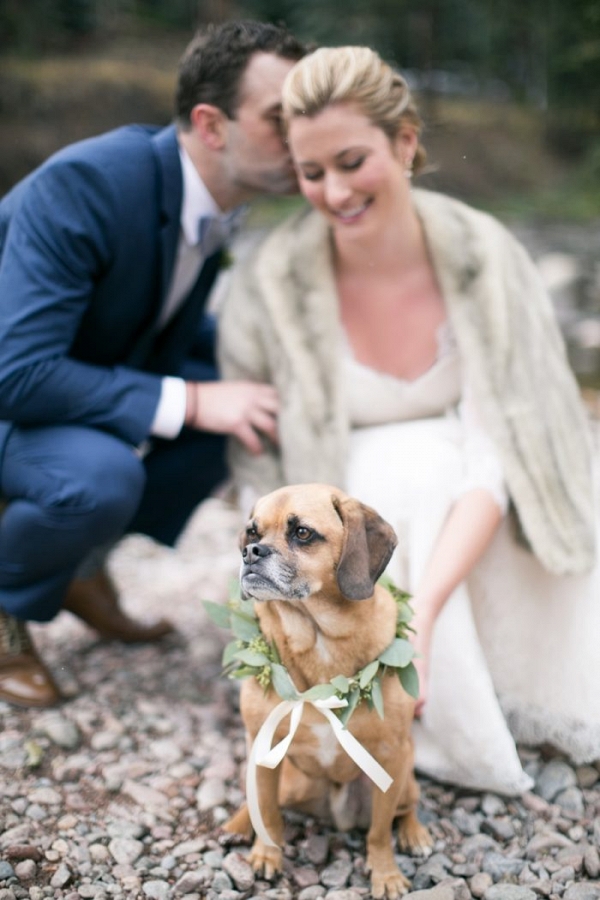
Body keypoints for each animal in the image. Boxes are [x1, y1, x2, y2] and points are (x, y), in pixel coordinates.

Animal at [223, 482, 434, 896]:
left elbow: (379, 833)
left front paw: (385, 874)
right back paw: (238, 825)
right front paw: (266, 855)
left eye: (302, 533)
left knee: (405, 809)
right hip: (286, 779)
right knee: (259, 799)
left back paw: (414, 834)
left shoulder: (392, 755)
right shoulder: (261, 743)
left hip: (403, 780)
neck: (316, 635)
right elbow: (267, 811)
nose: (250, 552)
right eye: (252, 532)